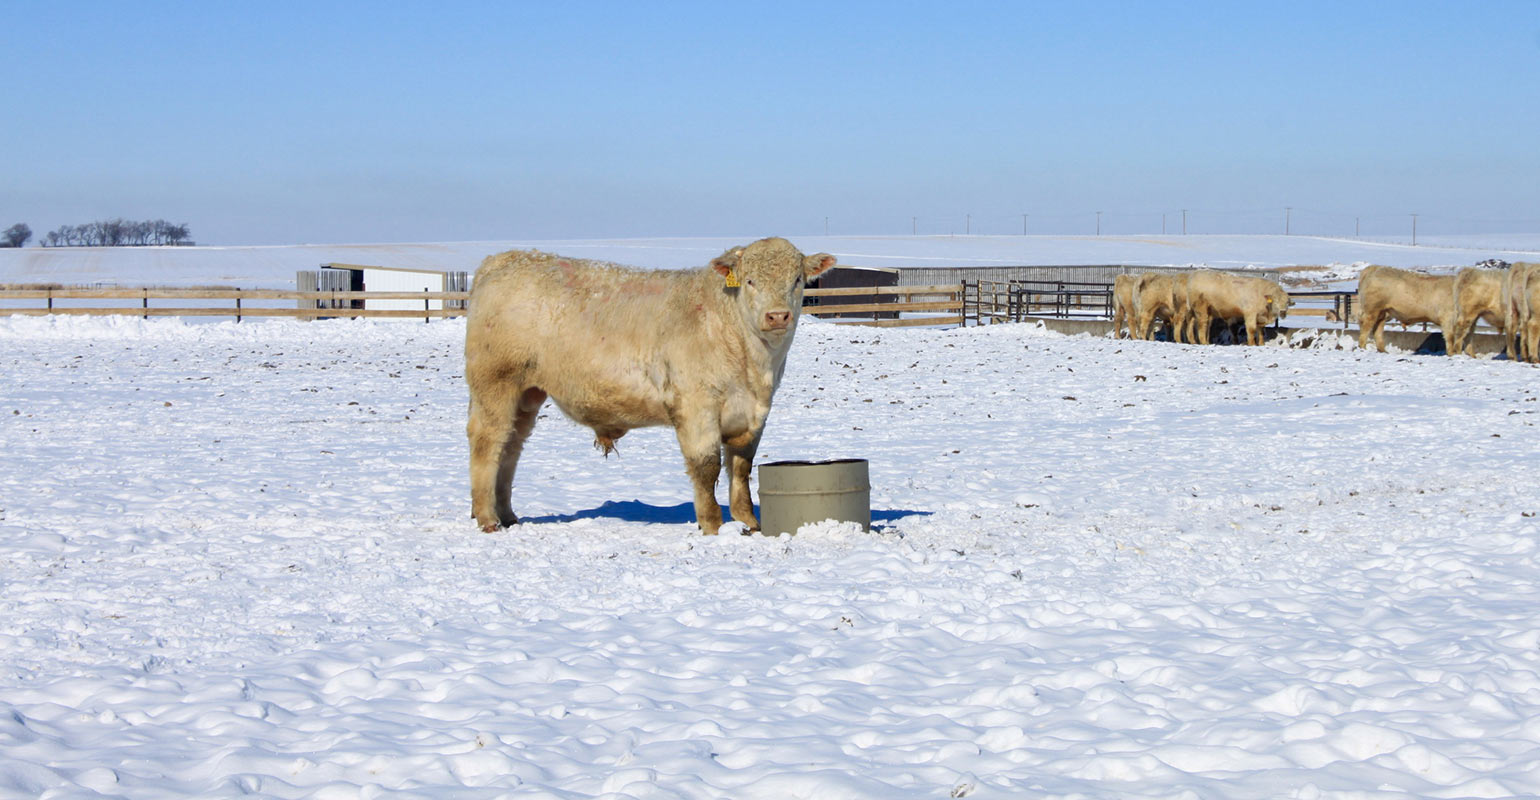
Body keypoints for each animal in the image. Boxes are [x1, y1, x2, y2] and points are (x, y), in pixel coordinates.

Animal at [462, 238, 837, 539]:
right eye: (750, 280)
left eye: (797, 280)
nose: (777, 316)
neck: (754, 365)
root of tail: (506, 258)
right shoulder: (696, 407)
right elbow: (706, 467)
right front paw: (712, 525)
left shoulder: (753, 414)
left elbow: (741, 468)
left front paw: (749, 522)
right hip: (496, 383)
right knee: (489, 442)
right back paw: (488, 518)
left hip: (527, 393)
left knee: (511, 447)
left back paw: (508, 515)